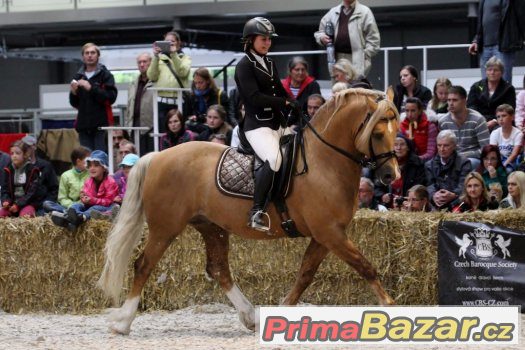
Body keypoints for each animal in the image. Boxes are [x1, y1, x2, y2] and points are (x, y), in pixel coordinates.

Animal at [98, 87, 400, 334]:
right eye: (377, 134)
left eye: (397, 132)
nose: (391, 176)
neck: (323, 161)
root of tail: (158, 156)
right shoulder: (330, 233)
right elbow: (365, 267)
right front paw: (390, 305)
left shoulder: (326, 235)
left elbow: (305, 274)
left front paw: (283, 310)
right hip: (165, 227)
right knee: (144, 264)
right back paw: (123, 322)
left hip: (211, 226)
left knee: (219, 269)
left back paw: (250, 317)